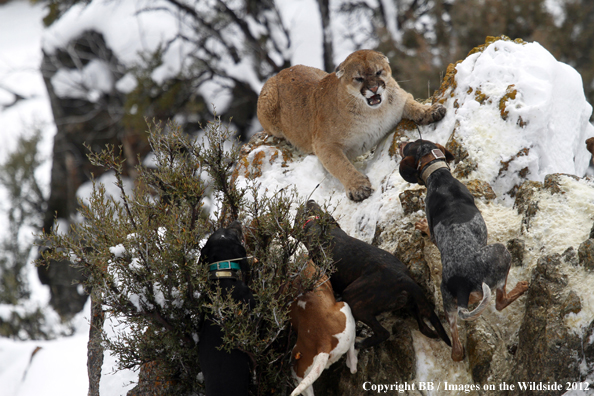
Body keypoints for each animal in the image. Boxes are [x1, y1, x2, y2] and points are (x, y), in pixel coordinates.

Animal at [296, 201, 448, 350]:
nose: (310, 200)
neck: (314, 219)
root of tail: (403, 278)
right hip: (411, 303)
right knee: (423, 327)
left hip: (354, 299)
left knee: (383, 333)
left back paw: (361, 343)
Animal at [398, 139, 528, 362]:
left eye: (408, 145)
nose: (400, 143)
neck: (438, 176)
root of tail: (462, 286)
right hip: (501, 254)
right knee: (500, 302)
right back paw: (521, 286)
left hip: (448, 305)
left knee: (456, 351)